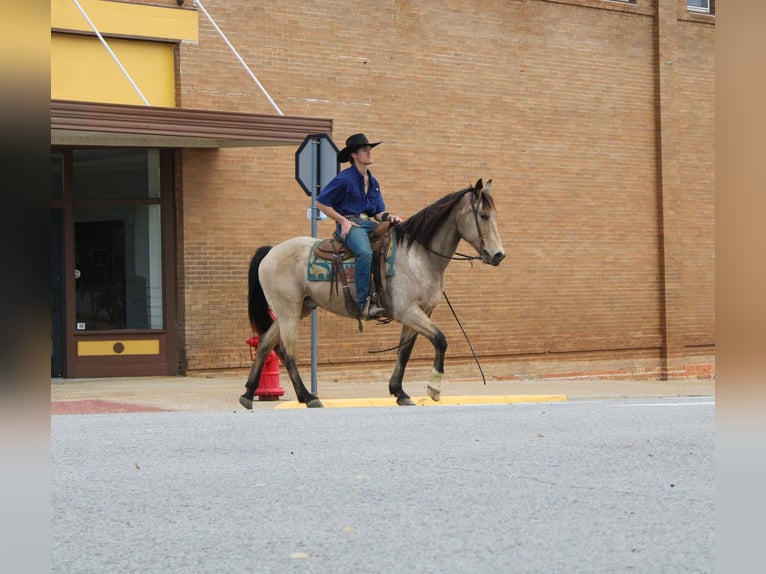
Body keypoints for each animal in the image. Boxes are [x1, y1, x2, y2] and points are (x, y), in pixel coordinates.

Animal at [239, 178, 505, 409]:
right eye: (483, 215)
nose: (498, 255)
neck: (418, 255)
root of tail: (271, 251)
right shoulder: (408, 312)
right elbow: (440, 339)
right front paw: (434, 387)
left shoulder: (419, 313)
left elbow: (404, 351)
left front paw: (399, 392)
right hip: (289, 311)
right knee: (287, 351)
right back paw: (308, 396)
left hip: (299, 308)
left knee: (265, 344)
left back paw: (248, 394)